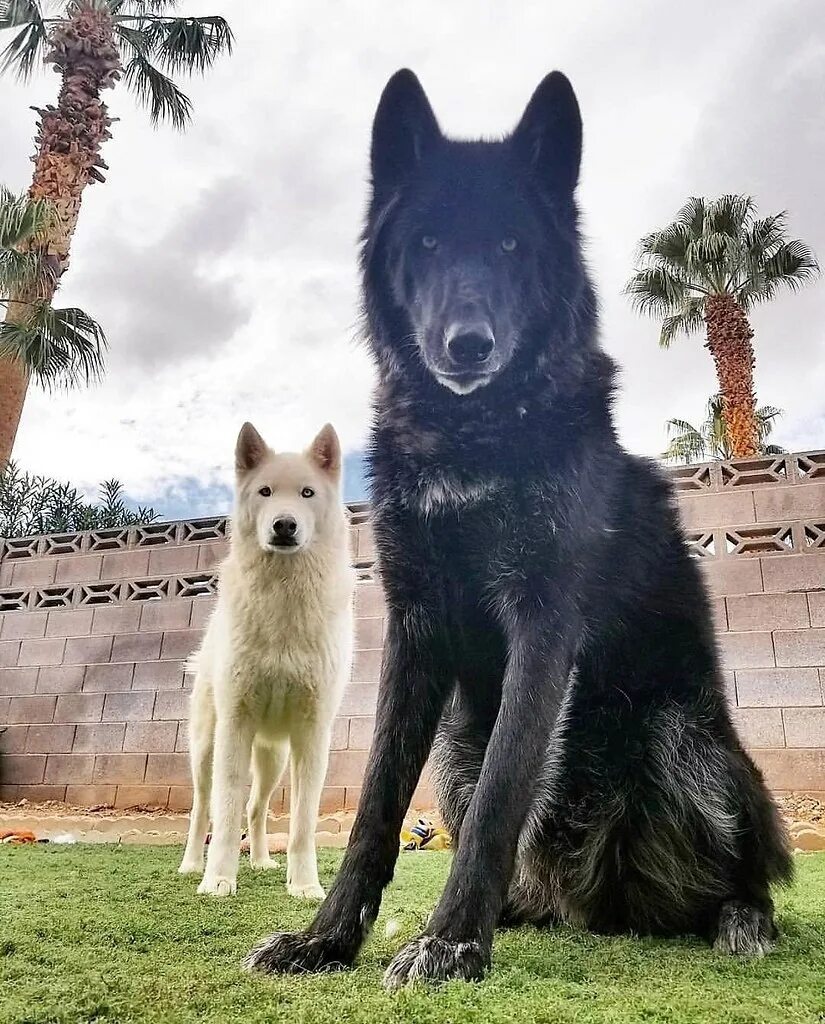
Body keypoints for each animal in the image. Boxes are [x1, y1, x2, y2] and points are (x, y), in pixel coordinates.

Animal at [179, 421, 354, 897]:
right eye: (265, 491)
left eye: (307, 493)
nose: (285, 524)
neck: (284, 599)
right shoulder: (235, 724)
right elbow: (223, 814)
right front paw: (218, 880)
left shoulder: (312, 735)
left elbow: (302, 824)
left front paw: (306, 886)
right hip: (206, 749)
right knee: (203, 808)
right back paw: (191, 865)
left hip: (274, 759)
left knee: (256, 810)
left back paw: (259, 861)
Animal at [246, 68, 794, 987]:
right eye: (427, 243)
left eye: (509, 246)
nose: (468, 345)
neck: (473, 437)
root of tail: (603, 908)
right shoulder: (415, 630)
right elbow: (373, 806)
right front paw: (328, 939)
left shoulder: (542, 623)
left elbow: (504, 796)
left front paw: (451, 943)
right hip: (457, 742)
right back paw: (518, 911)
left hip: (684, 736)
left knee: (749, 868)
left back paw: (740, 919)